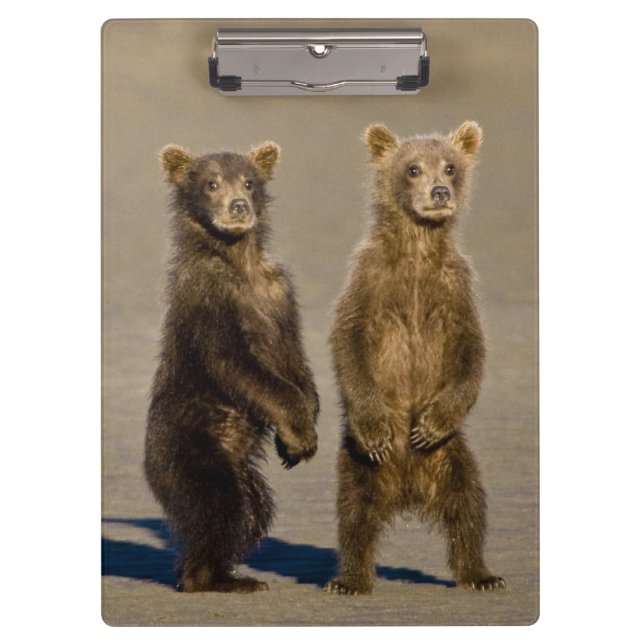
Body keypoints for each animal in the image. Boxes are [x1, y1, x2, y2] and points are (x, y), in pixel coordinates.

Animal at [144, 141, 319, 593]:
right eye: (211, 183)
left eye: (249, 181)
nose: (239, 206)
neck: (239, 261)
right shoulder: (211, 299)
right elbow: (238, 365)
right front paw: (299, 432)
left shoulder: (278, 293)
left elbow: (294, 358)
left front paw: (298, 436)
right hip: (189, 449)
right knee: (219, 506)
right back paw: (210, 578)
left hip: (238, 466)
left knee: (254, 509)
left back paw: (232, 571)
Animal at [324, 121, 505, 595]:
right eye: (412, 168)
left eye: (450, 166)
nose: (440, 191)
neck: (418, 249)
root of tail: (408, 491)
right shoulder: (371, 281)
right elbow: (348, 340)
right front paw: (374, 426)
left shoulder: (454, 289)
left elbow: (471, 351)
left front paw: (430, 423)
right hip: (360, 466)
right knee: (355, 513)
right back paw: (350, 578)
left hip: (452, 456)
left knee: (467, 506)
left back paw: (481, 573)